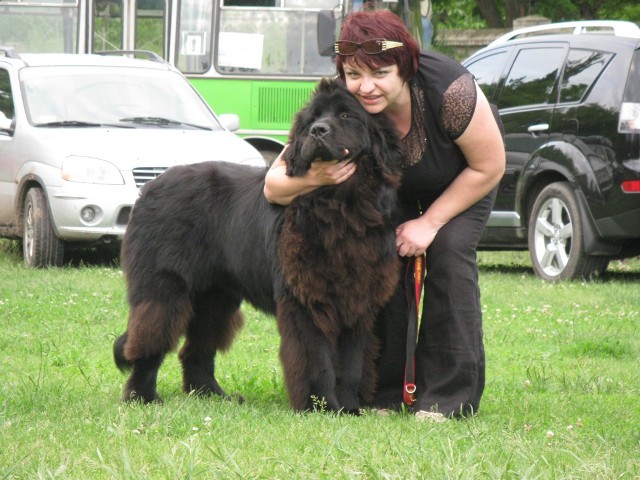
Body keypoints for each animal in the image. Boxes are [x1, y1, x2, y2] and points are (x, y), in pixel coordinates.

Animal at [113, 78, 405, 413]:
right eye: (313, 118)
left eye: (346, 115)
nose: (318, 130)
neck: (341, 206)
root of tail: (149, 186)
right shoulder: (305, 300)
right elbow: (315, 358)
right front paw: (319, 405)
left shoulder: (358, 302)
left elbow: (352, 364)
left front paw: (348, 408)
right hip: (165, 287)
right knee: (149, 340)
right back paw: (143, 396)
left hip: (215, 296)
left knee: (197, 348)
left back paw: (212, 394)